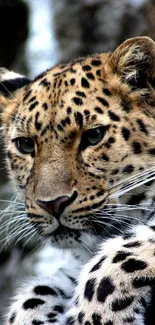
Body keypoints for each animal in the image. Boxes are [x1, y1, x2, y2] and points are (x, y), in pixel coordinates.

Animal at [1, 36, 155, 324]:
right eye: (25, 145)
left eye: (94, 136)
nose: (52, 204)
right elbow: (34, 296)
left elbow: (118, 256)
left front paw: (98, 316)